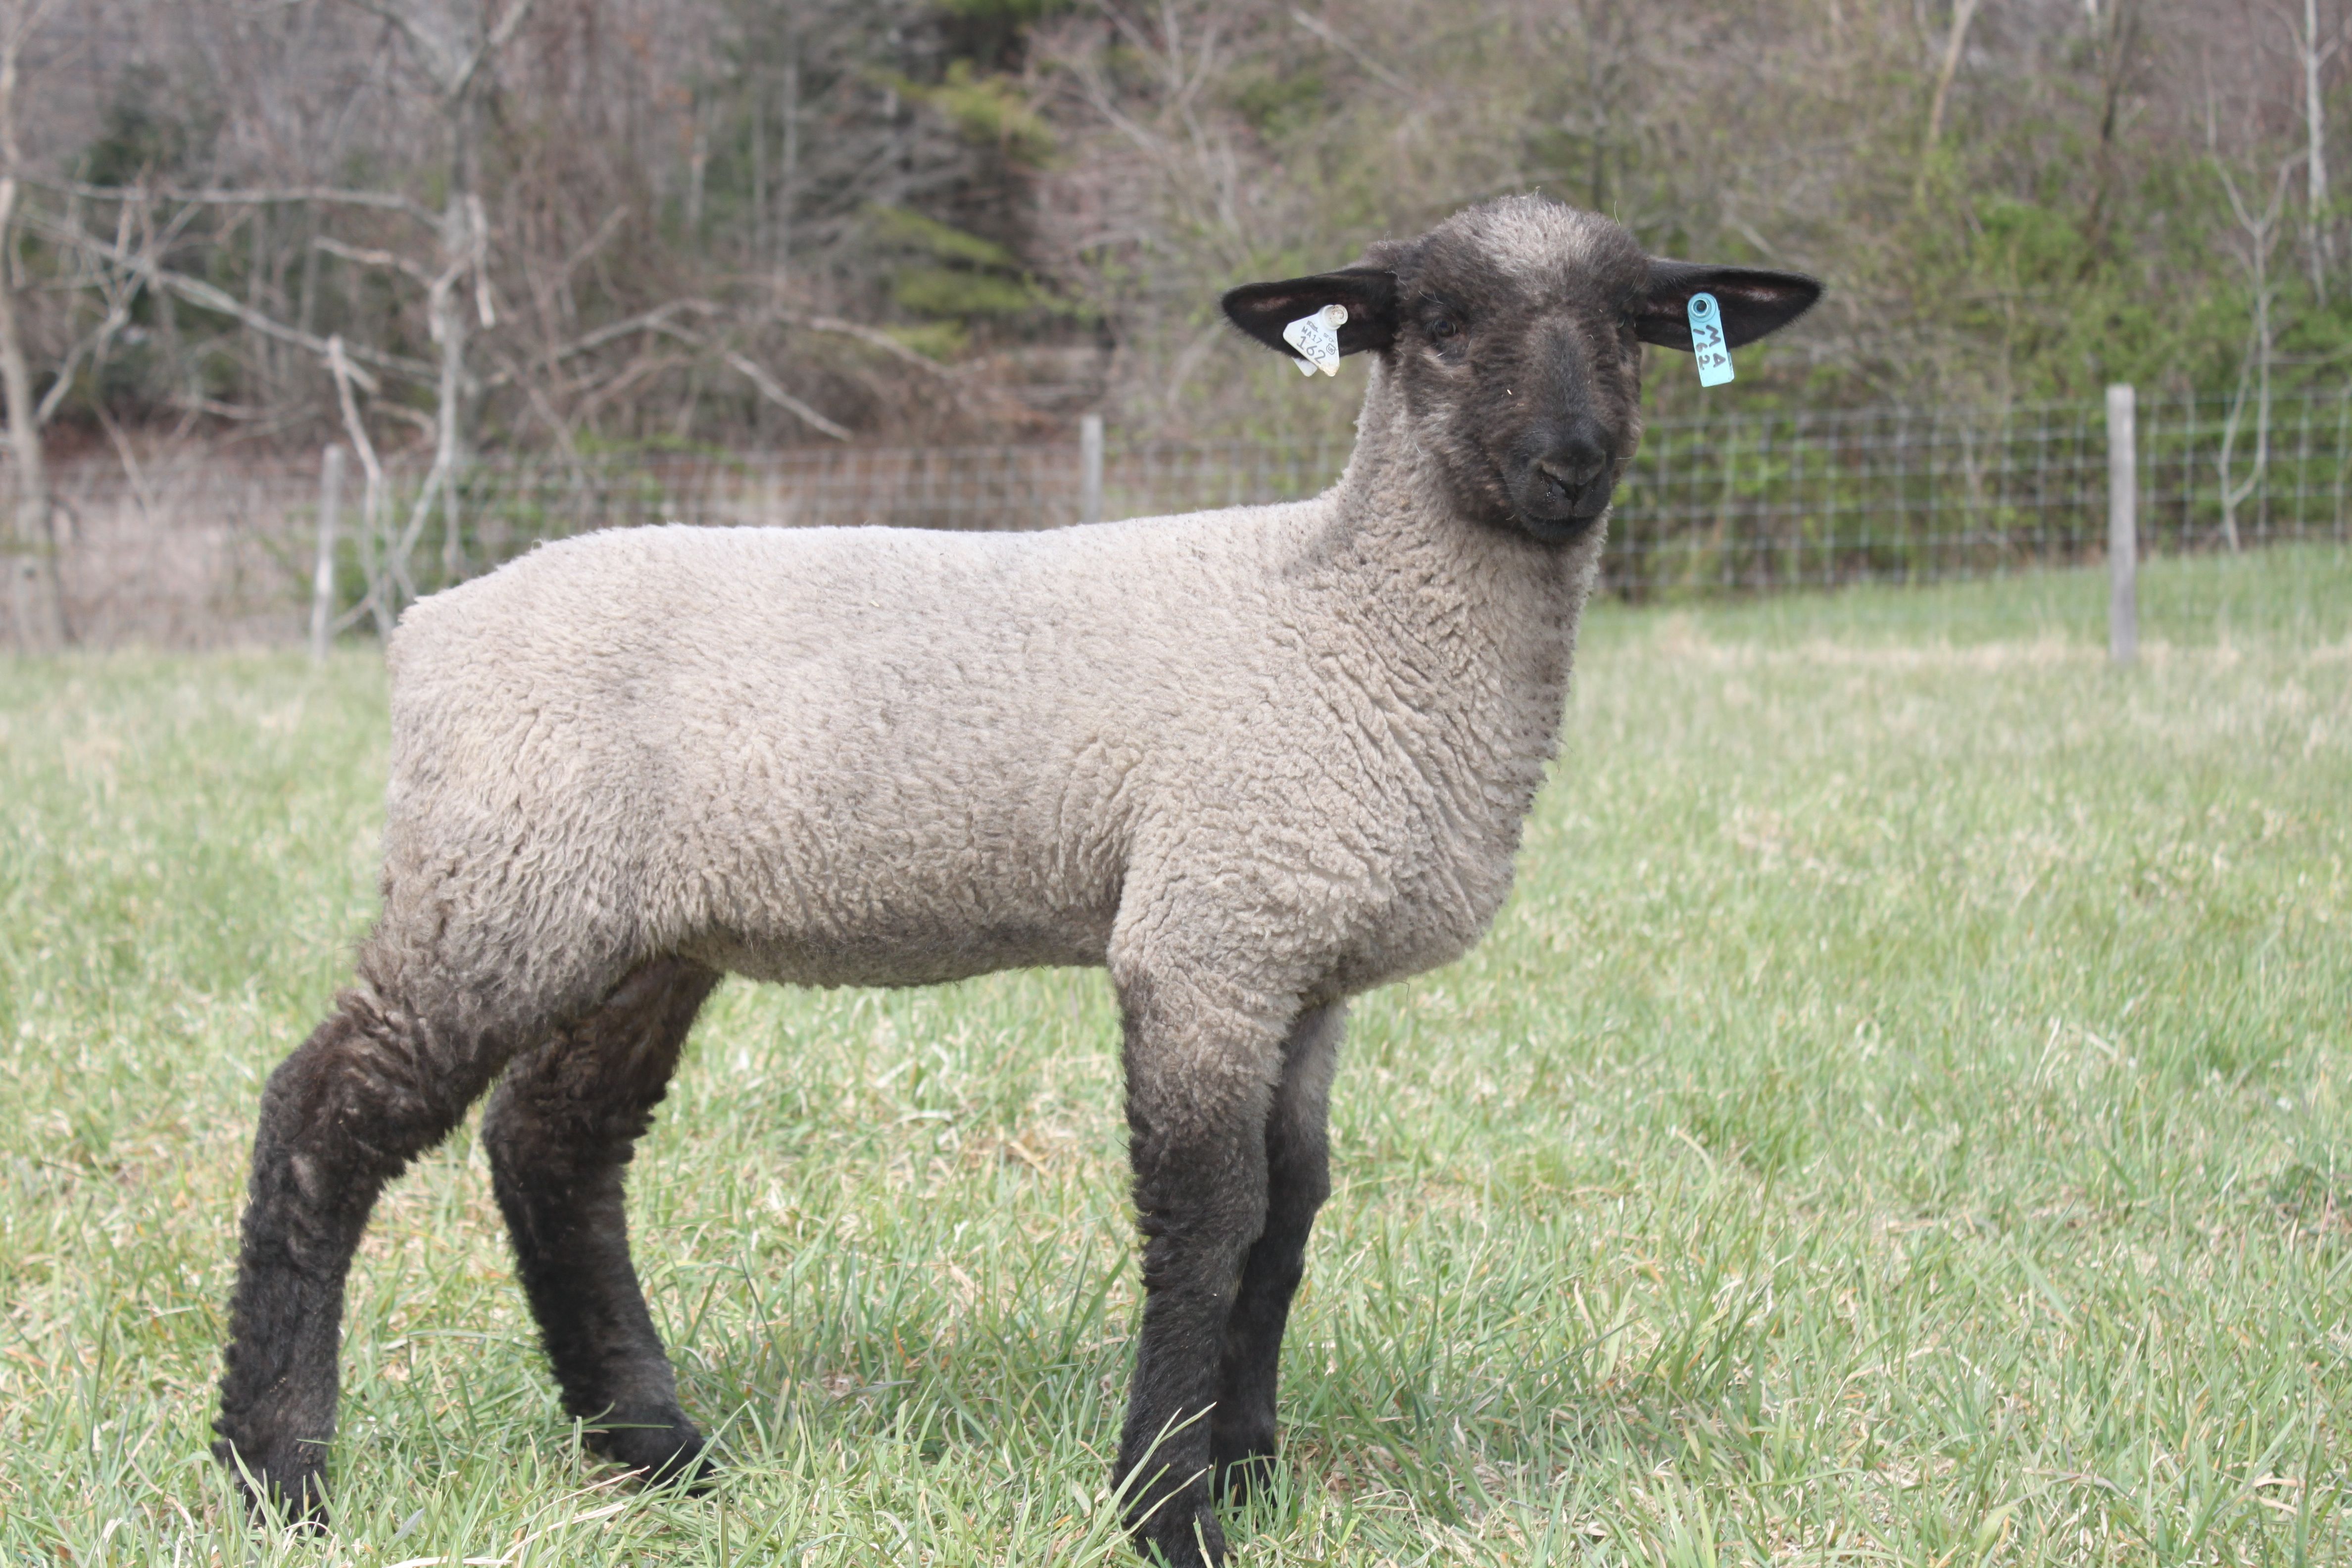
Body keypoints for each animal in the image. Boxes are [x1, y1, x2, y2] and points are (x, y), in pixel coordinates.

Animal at [213, 193, 1819, 1566]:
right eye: (1432, 318)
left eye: (1635, 319)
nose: (1569, 464)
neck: (1348, 613)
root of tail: (430, 623)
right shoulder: (1204, 933)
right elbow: (1206, 1222)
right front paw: (1167, 1509)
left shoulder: (1300, 957)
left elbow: (1290, 1217)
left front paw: (1247, 1464)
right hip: (498, 880)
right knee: (323, 1116)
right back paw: (274, 1471)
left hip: (636, 930)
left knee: (554, 1146)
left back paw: (659, 1453)